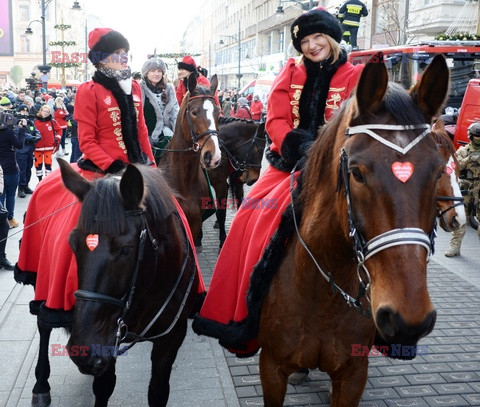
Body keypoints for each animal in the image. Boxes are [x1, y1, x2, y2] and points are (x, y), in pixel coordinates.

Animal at [57, 160, 201, 407]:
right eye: (72, 243)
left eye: (126, 250)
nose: (83, 349)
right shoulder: (108, 338)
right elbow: (103, 386)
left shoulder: (171, 338)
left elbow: (158, 391)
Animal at [255, 55, 450, 407]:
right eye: (356, 173)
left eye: (439, 170)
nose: (408, 317)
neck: (322, 290)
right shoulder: (272, 368)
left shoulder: (352, 376)